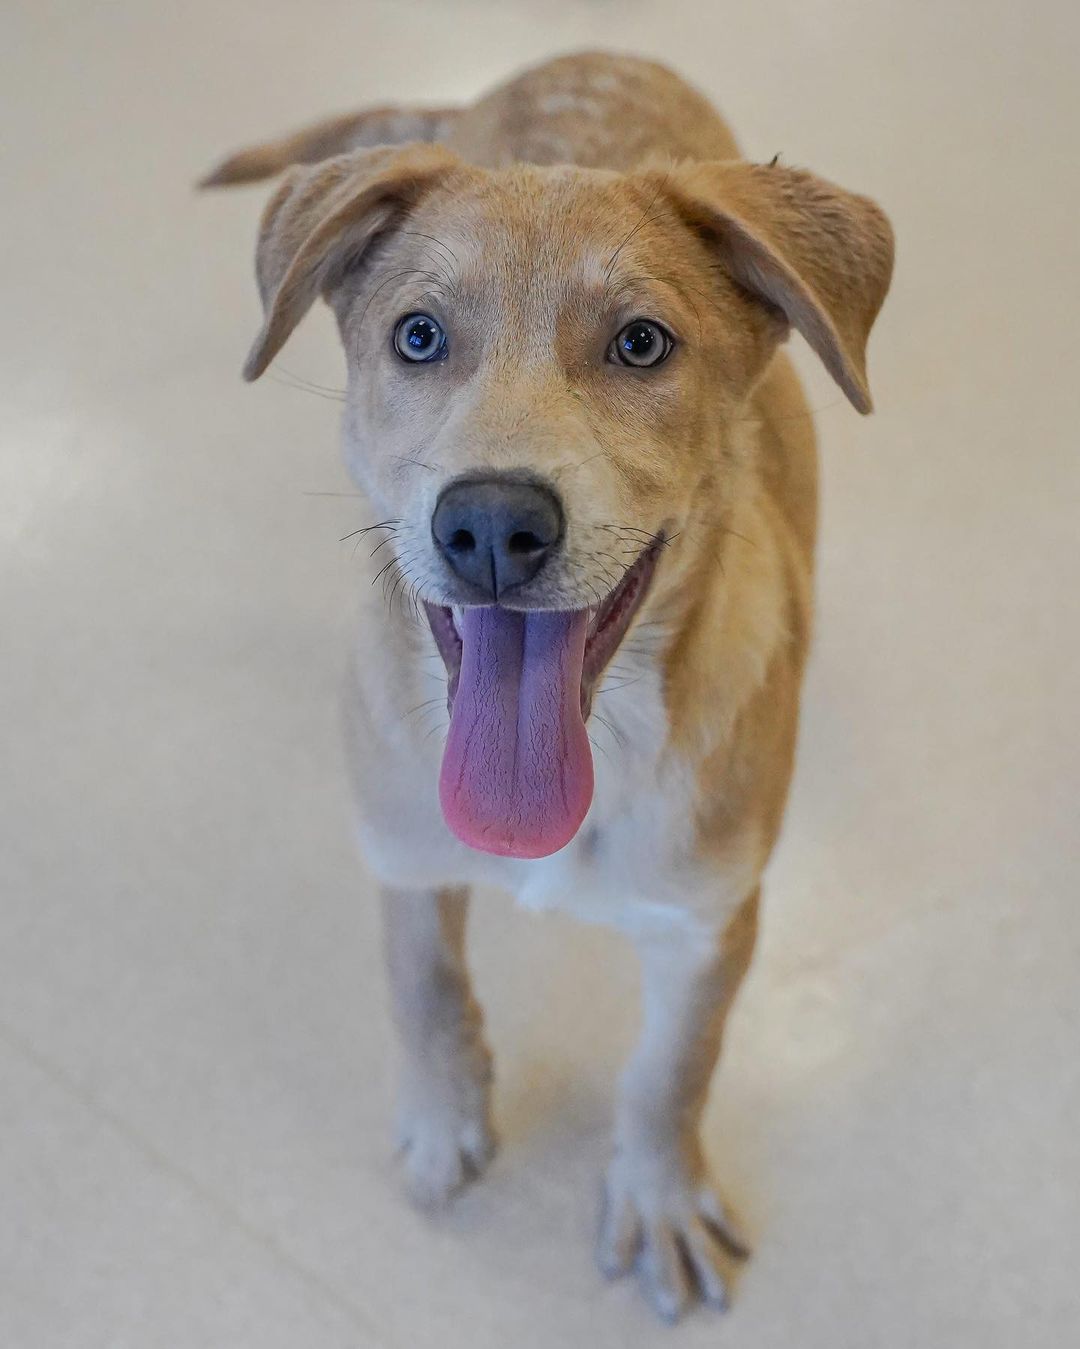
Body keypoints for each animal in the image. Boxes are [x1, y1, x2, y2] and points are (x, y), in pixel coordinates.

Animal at [204, 49, 895, 1316]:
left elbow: (672, 1068)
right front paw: (445, 1115)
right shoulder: (401, 846)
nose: (489, 524)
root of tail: (577, 58)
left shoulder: (709, 920)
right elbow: (421, 983)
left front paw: (659, 1192)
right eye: (418, 334)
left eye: (643, 344)